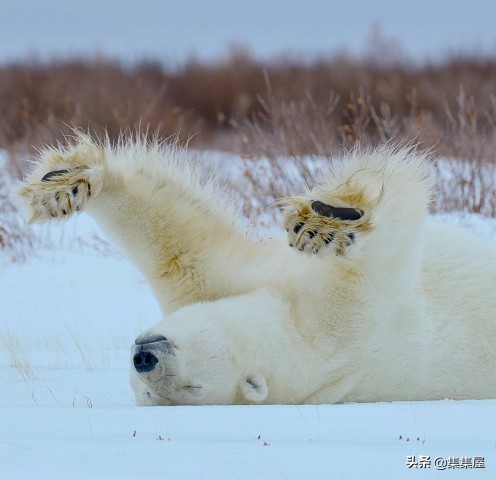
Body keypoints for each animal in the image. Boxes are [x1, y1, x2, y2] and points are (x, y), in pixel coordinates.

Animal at [18, 131, 496, 404]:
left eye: (192, 388)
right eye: (147, 393)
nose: (144, 358)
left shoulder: (342, 328)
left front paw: (327, 218)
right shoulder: (230, 288)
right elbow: (183, 248)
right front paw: (64, 186)